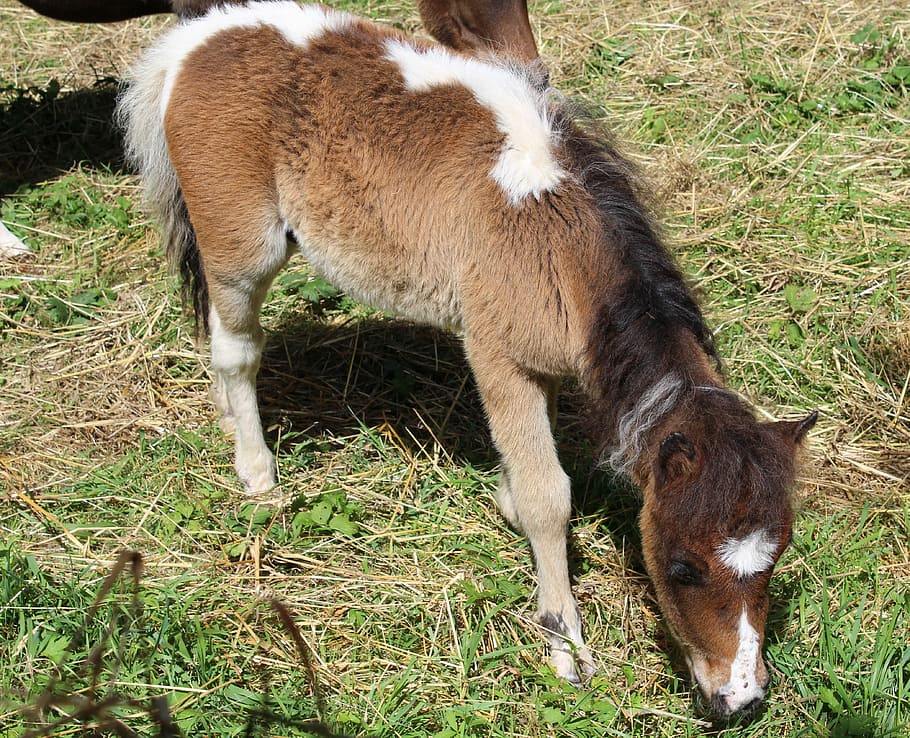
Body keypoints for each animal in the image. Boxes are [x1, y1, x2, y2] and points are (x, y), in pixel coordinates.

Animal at [117, 0, 817, 718]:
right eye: (683, 566)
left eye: (777, 556)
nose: (742, 699)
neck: (558, 240)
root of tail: (201, 36)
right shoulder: (498, 359)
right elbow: (548, 496)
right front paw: (566, 645)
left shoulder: (544, 365)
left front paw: (506, 499)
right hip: (242, 243)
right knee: (237, 348)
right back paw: (257, 471)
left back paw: (230, 424)